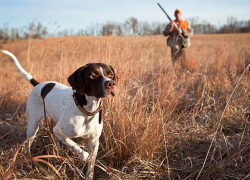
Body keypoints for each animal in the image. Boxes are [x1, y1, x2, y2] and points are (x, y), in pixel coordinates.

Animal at [1, 50, 118, 179]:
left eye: (111, 74)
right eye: (93, 75)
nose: (111, 83)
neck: (86, 111)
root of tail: (38, 85)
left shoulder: (94, 141)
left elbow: (91, 165)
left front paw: (89, 175)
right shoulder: (60, 131)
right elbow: (77, 149)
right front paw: (85, 156)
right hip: (33, 125)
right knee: (28, 144)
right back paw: (29, 159)